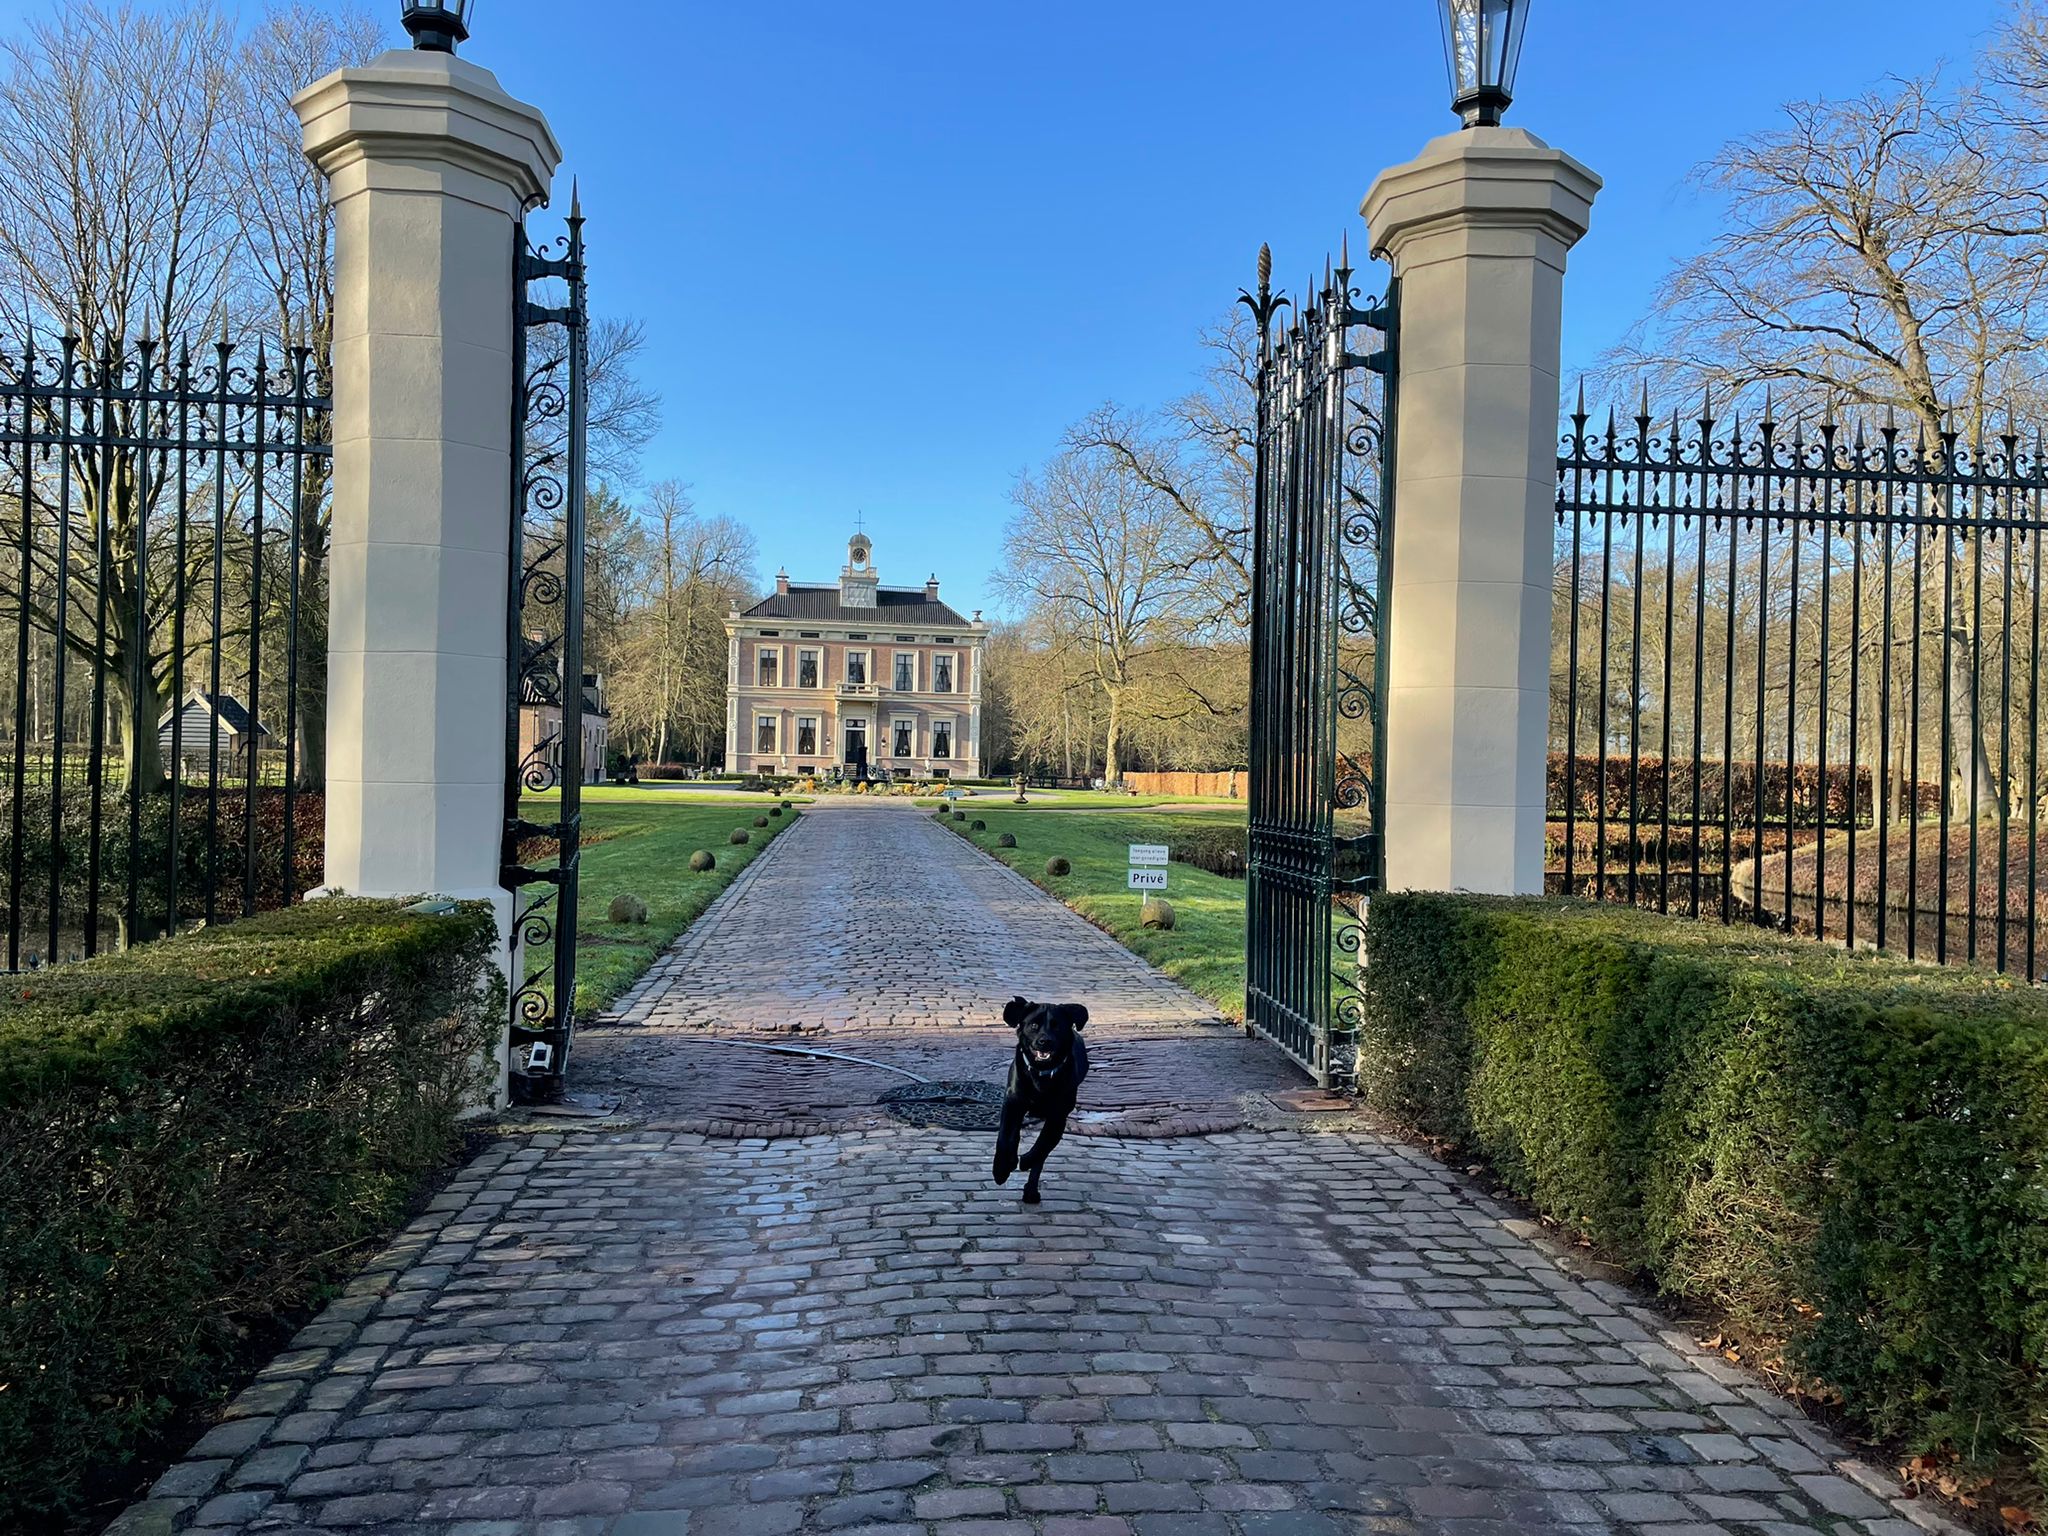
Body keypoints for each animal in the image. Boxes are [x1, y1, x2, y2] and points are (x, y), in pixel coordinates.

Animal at [991, 999, 1089, 1204]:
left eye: (1057, 1026)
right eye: (1034, 1025)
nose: (1045, 1041)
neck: (1042, 1074)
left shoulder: (1058, 1118)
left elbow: (1041, 1148)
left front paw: (1026, 1160)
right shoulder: (1012, 1104)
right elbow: (1005, 1138)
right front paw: (1001, 1169)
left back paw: (1030, 1191)